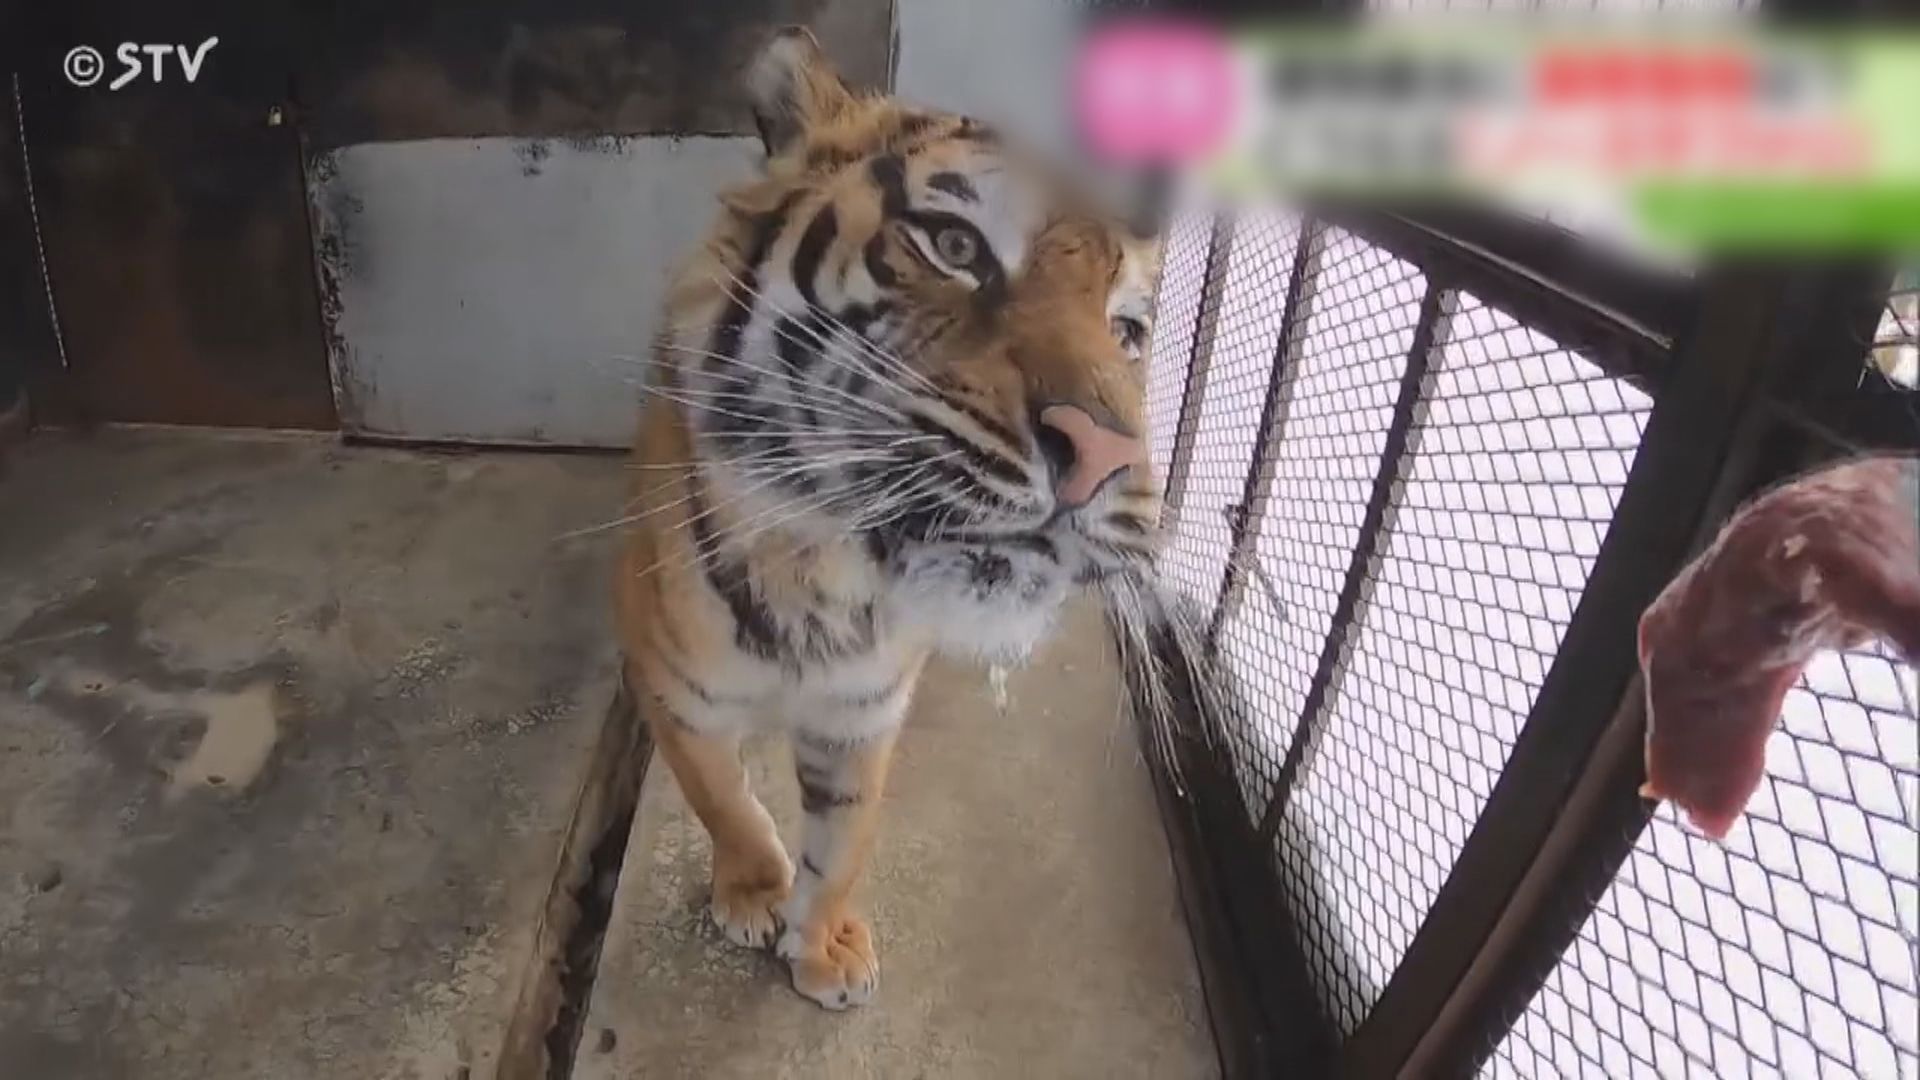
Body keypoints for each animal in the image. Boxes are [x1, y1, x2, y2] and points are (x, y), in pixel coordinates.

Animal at [614, 25, 1159, 1006]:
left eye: (1128, 331)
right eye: (954, 244)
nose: (1107, 461)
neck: (821, 569)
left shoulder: (863, 711)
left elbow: (845, 840)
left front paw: (824, 945)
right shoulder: (676, 689)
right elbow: (724, 801)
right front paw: (753, 894)